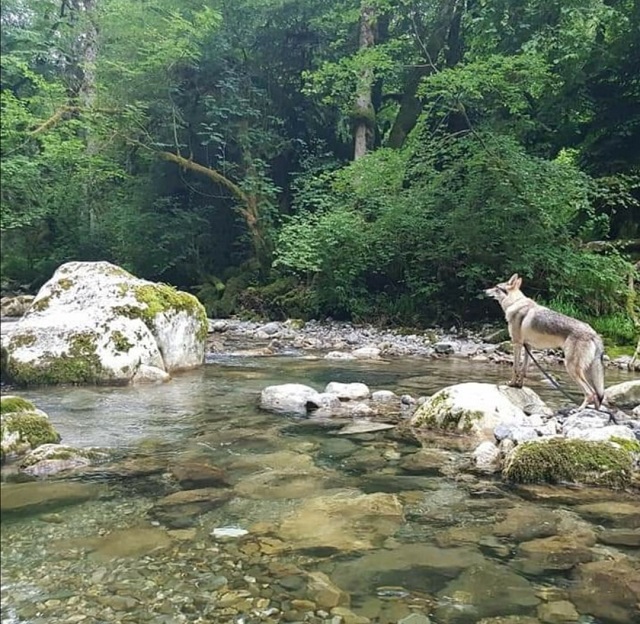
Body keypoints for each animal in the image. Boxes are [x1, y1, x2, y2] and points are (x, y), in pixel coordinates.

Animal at [484, 272, 604, 410]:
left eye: (496, 287)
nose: (484, 291)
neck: (515, 302)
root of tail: (594, 333)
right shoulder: (528, 346)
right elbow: (523, 369)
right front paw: (519, 386)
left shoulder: (517, 343)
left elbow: (515, 368)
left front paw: (511, 384)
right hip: (587, 370)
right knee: (597, 395)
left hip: (572, 367)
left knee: (590, 393)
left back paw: (578, 410)